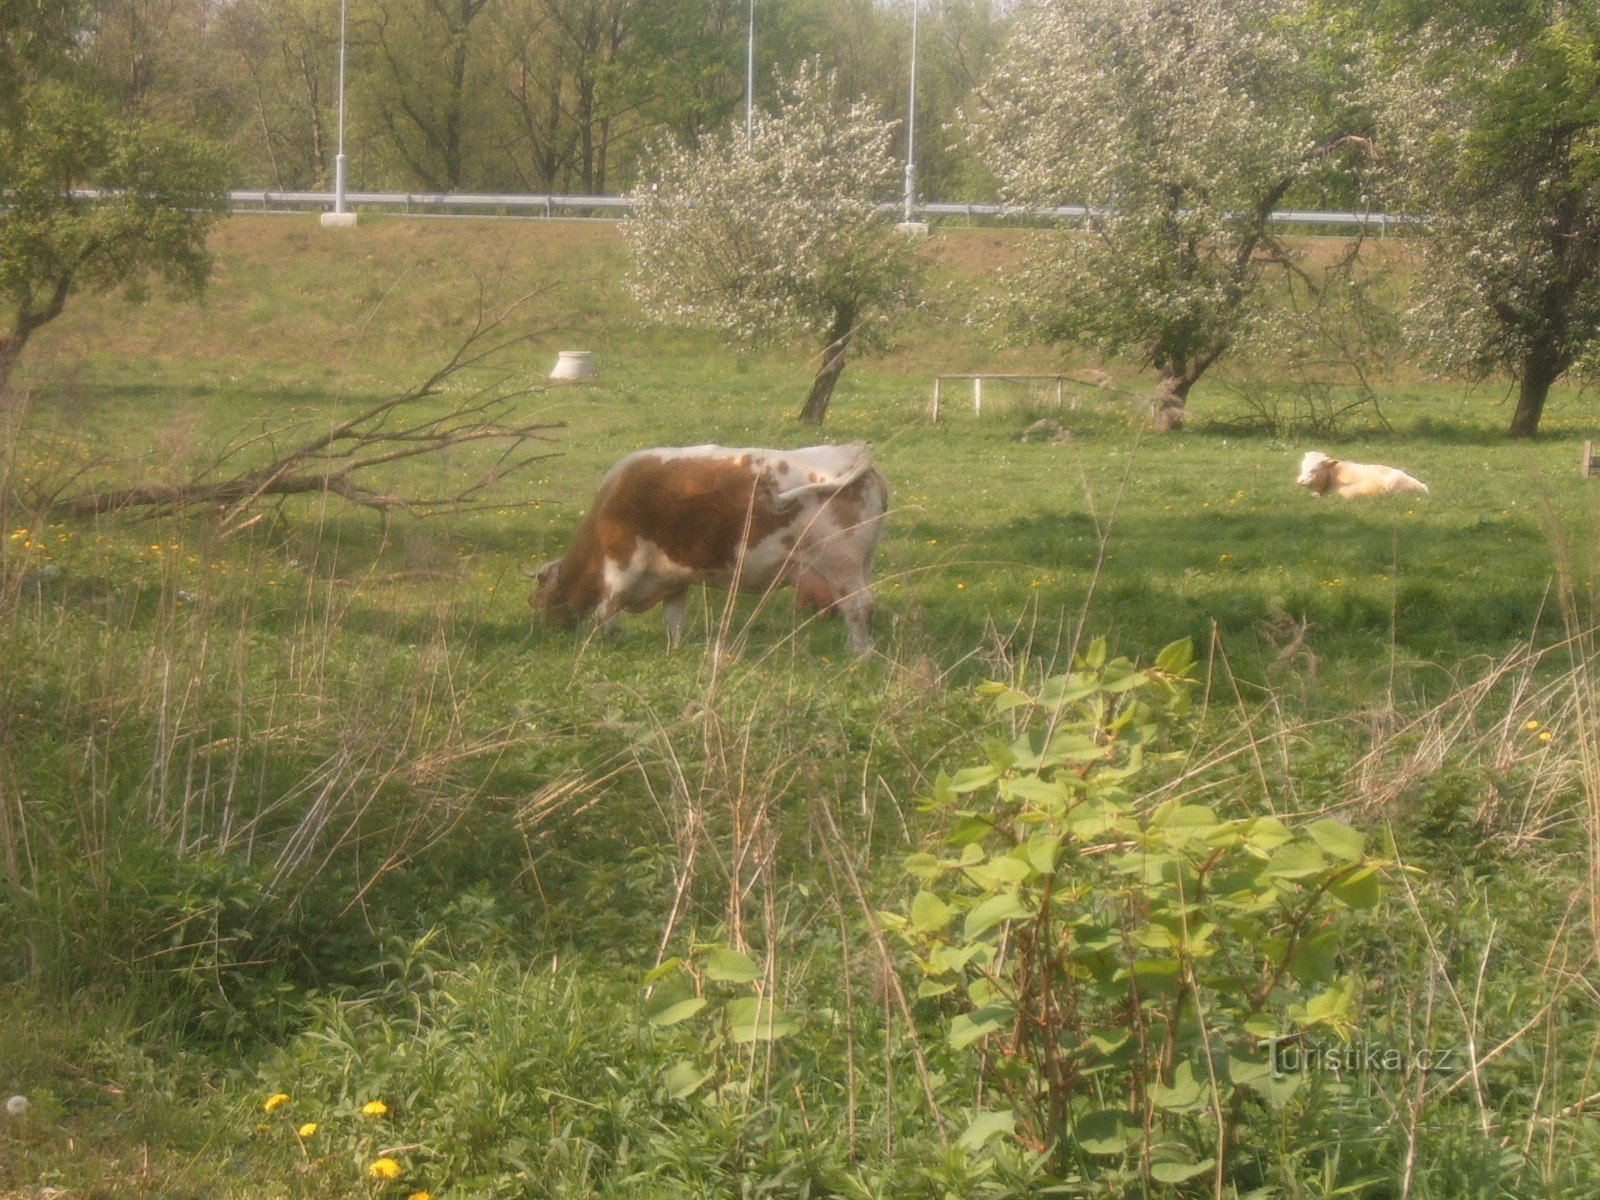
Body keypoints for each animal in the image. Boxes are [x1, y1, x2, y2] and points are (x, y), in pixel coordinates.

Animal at [534, 441, 889, 652]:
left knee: (858, 608)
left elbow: (606, 613)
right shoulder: (673, 580)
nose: (546, 633)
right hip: (861, 565)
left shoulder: (621, 568)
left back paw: (860, 656)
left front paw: (602, 645)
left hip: (841, 567)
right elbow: (673, 620)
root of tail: (856, 454)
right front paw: (674, 650)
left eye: (539, 602)